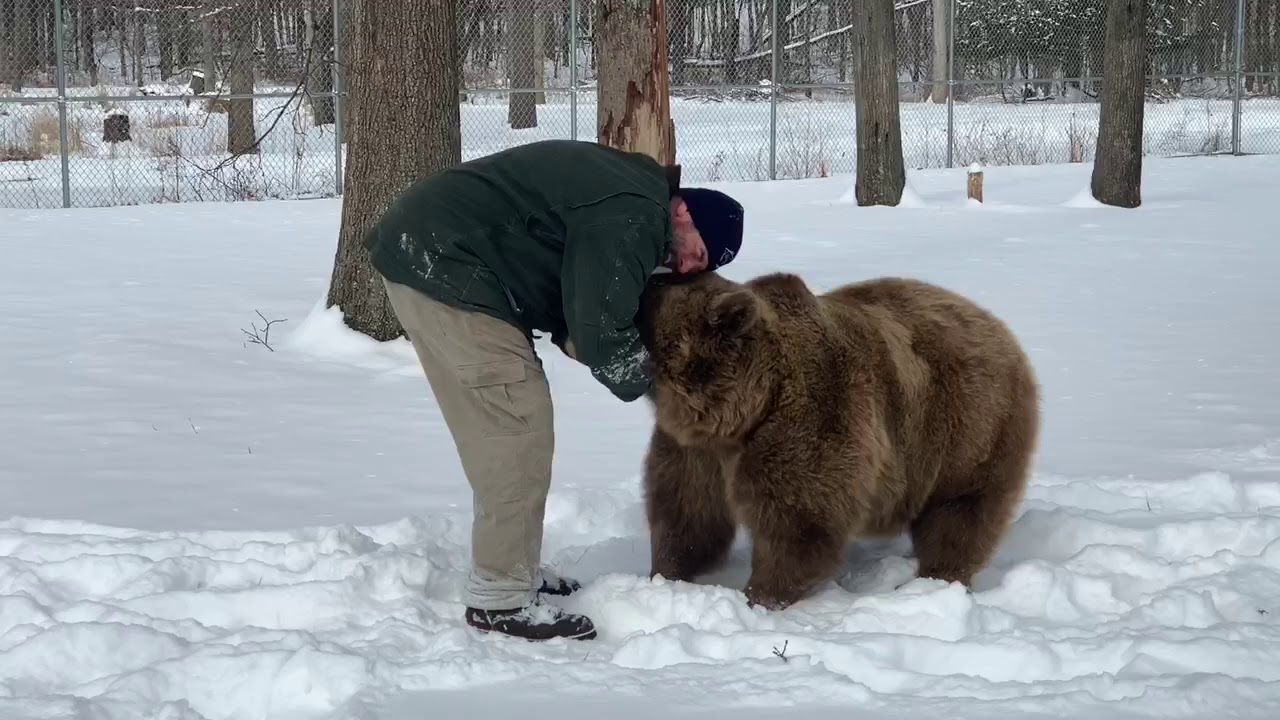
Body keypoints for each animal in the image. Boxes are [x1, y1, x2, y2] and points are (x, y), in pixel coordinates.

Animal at [635, 269, 1040, 611]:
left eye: (656, 288)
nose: (648, 279)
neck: (741, 414)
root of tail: (999, 328)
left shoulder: (811, 421)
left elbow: (798, 523)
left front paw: (760, 596)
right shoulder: (697, 452)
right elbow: (687, 512)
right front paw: (666, 575)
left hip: (968, 428)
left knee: (960, 512)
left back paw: (936, 579)